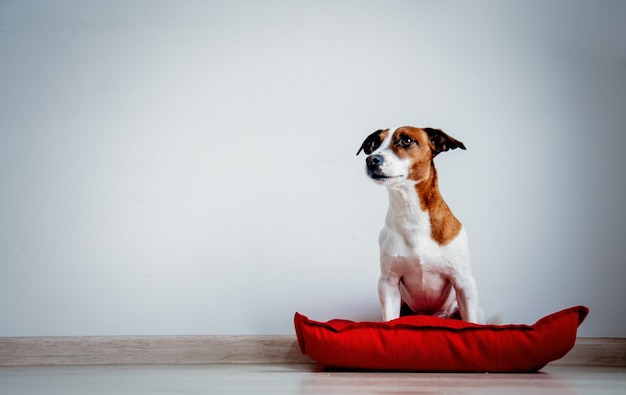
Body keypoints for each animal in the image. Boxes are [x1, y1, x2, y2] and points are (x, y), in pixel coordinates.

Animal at [356, 127, 482, 324]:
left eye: (407, 140)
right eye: (375, 143)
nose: (371, 160)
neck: (411, 213)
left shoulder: (464, 283)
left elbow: (470, 320)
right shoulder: (388, 283)